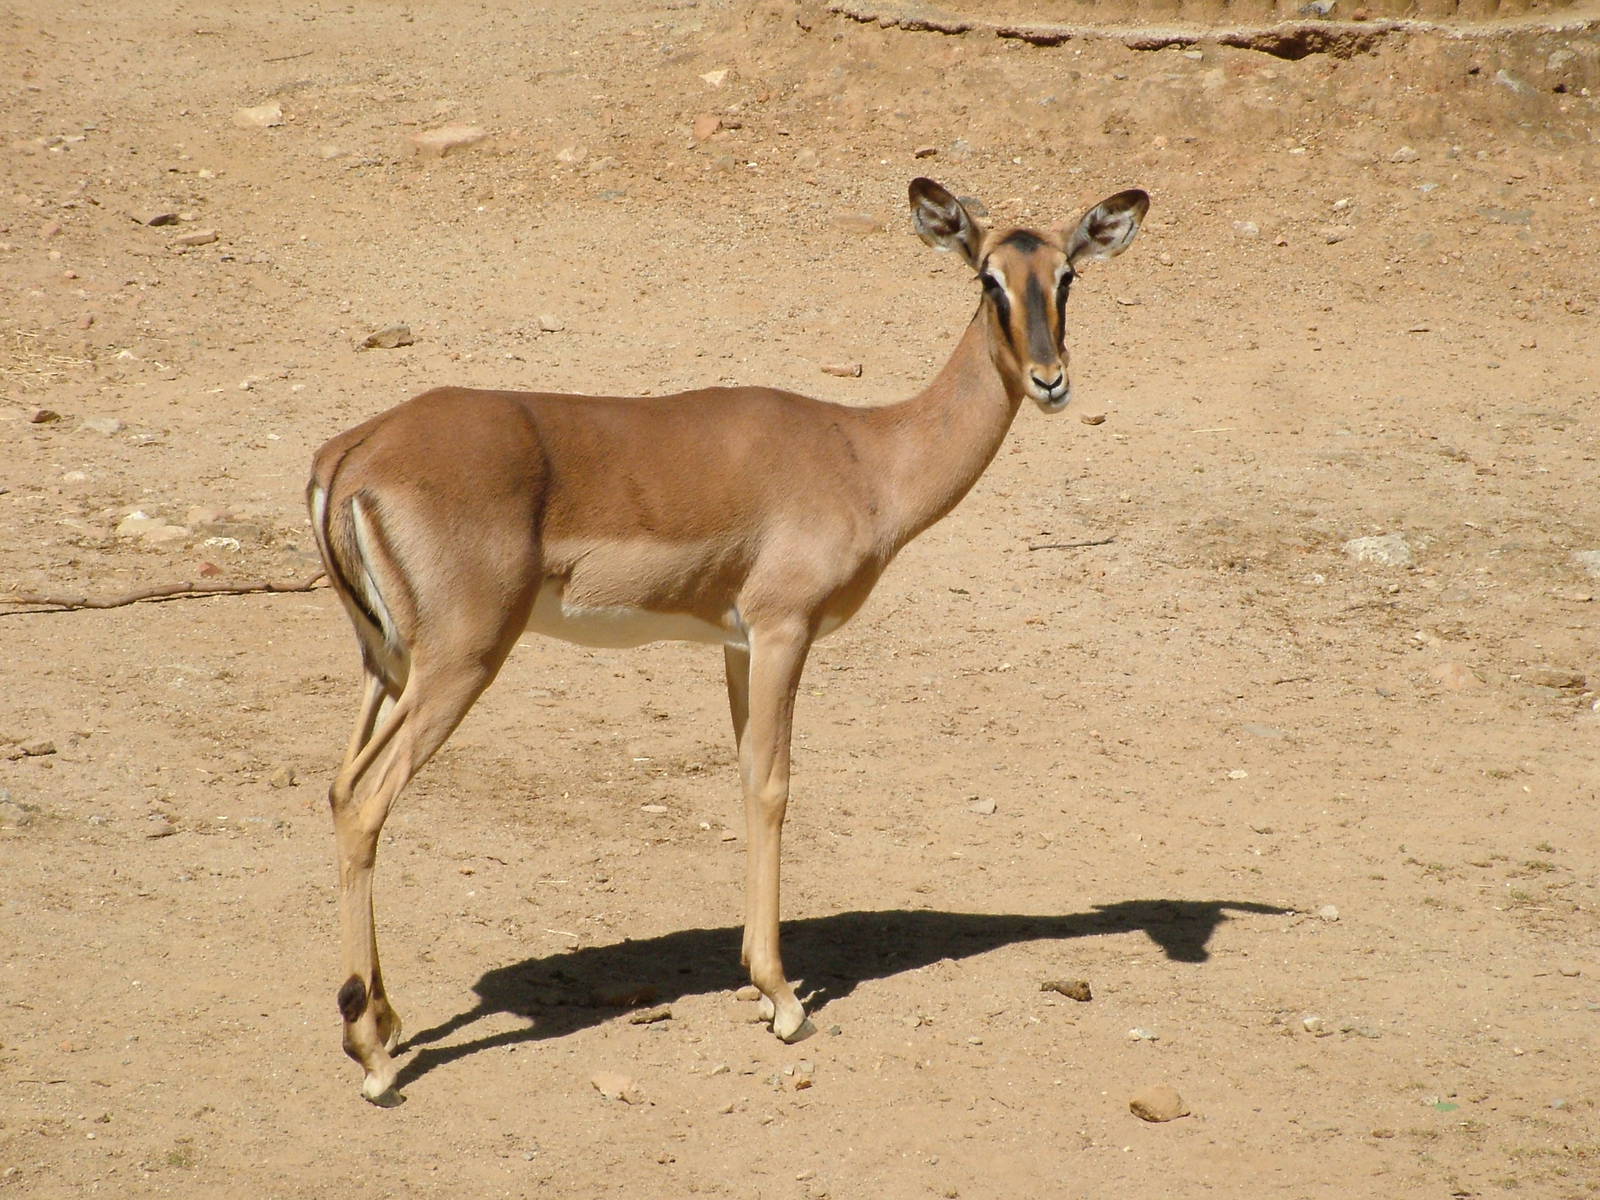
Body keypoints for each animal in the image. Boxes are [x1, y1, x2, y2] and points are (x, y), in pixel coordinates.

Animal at [307, 178, 1148, 1104]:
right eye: (989, 278)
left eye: (1066, 275)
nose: (1050, 379)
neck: (867, 456)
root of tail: (353, 455)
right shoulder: (784, 631)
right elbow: (774, 787)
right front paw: (785, 1002)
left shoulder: (737, 646)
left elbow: (747, 780)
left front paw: (759, 979)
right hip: (458, 664)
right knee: (365, 800)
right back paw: (374, 1060)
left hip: (386, 666)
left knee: (338, 787)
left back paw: (379, 1021)